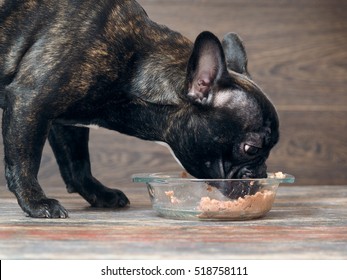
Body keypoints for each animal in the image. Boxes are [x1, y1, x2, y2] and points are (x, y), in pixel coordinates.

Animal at [0, 0, 280, 218]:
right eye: (250, 148)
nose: (261, 173)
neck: (135, 65)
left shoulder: (65, 121)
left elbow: (77, 163)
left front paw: (98, 193)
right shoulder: (30, 100)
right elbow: (25, 159)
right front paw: (36, 202)